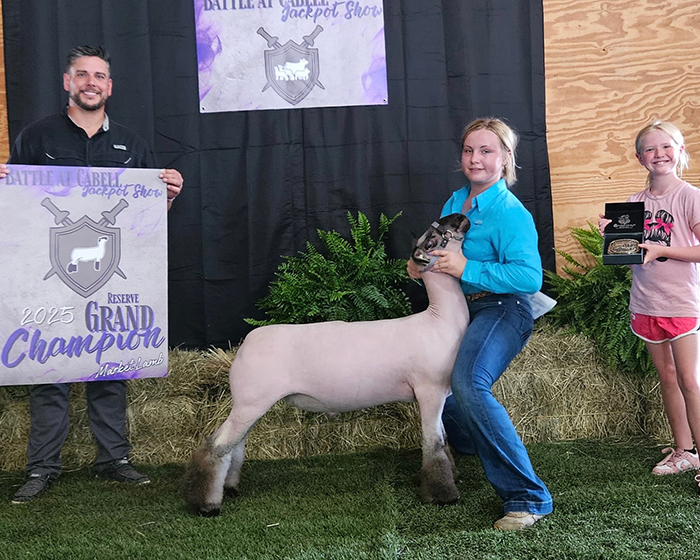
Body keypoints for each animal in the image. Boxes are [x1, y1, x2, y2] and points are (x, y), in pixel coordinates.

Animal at [186, 213, 471, 517]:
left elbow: (443, 439)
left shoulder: (438, 396)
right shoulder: (429, 392)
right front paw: (443, 495)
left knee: (235, 444)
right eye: (432, 240)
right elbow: (434, 444)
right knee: (217, 446)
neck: (438, 320)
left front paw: (452, 476)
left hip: (249, 404)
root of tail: (246, 344)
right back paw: (207, 504)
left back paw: (230, 487)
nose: (461, 217)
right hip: (250, 402)